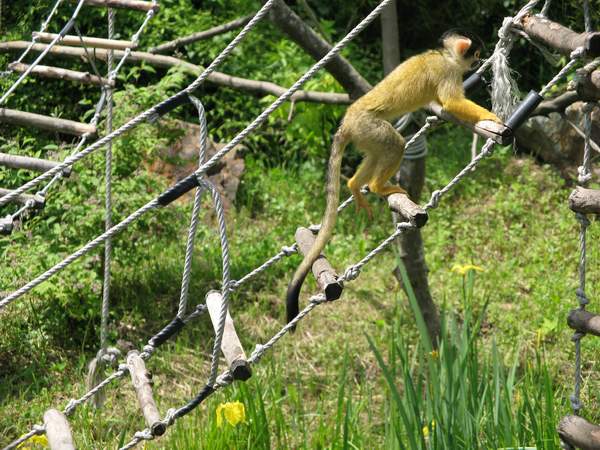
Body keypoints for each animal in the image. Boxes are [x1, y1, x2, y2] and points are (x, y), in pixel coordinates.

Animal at [286, 32, 502, 326]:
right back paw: (378, 186)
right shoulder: (447, 71)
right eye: (476, 55)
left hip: (364, 133)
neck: (445, 56)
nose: (479, 61)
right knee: (394, 144)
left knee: (377, 153)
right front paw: (491, 116)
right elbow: (452, 102)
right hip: (368, 126)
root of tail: (347, 121)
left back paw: (355, 185)